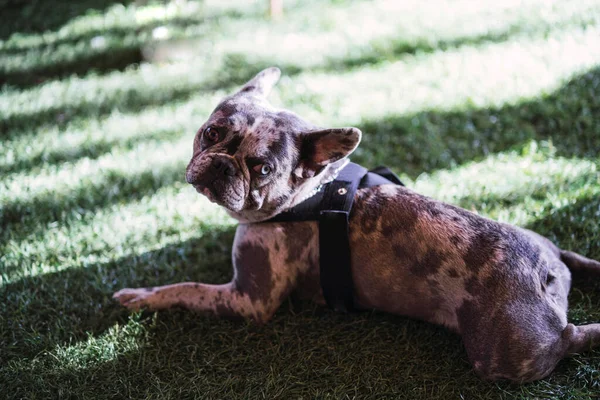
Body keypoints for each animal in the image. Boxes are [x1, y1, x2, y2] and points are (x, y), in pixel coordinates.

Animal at [113, 67, 600, 382]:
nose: (221, 165)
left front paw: (142, 295)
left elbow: (187, 289)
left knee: (568, 340)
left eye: (263, 168)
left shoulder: (248, 300)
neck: (312, 194)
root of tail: (545, 271)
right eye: (212, 133)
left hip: (501, 356)